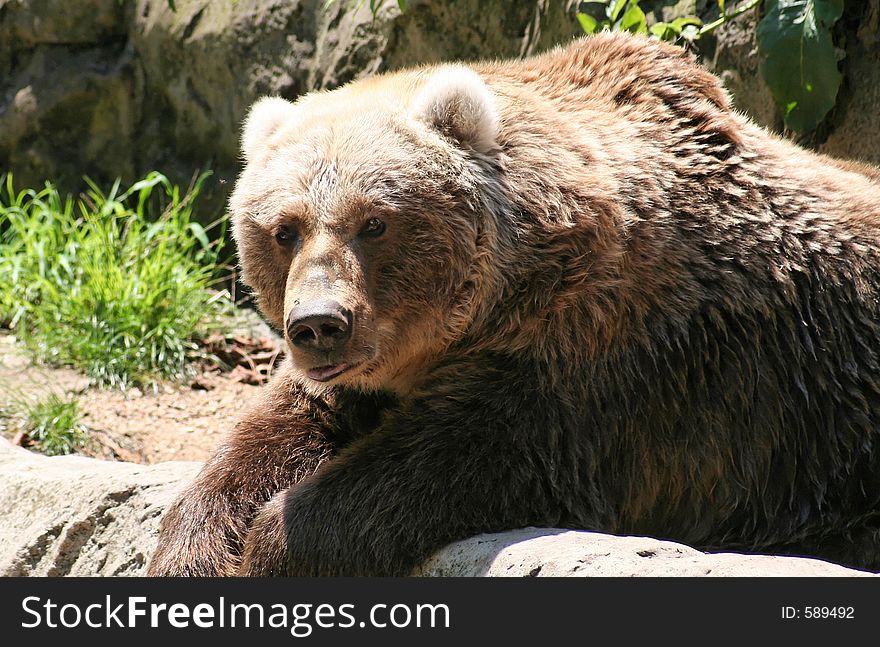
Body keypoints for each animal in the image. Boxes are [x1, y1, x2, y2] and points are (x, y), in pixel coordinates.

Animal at [148, 33, 880, 576]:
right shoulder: (359, 373)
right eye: (285, 228)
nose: (319, 325)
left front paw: (277, 537)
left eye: (373, 222)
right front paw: (198, 548)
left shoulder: (615, 361)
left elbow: (465, 454)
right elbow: (277, 427)